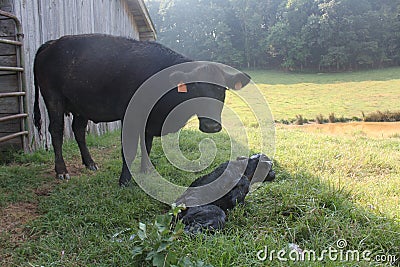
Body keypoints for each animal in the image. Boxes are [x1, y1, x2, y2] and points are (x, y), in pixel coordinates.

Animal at [33, 34, 250, 186]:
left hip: (81, 105)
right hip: (53, 99)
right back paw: (61, 170)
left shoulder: (149, 120)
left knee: (78, 130)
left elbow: (147, 145)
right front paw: (125, 180)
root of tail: (52, 43)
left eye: (223, 89)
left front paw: (147, 170)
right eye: (195, 87)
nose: (211, 125)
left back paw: (90, 163)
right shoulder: (130, 116)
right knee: (56, 131)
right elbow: (129, 149)